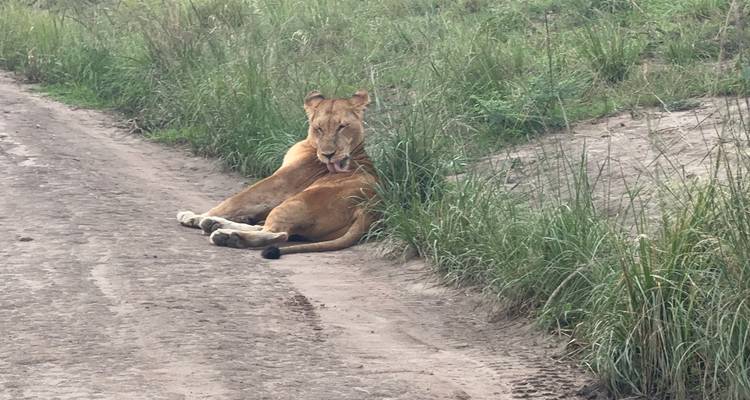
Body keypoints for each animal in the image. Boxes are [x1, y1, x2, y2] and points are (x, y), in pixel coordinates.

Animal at [176, 90, 378, 259]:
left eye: (342, 127)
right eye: (319, 128)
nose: (328, 154)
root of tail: (368, 207)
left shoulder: (280, 184)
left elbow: (236, 200)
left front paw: (194, 216)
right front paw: (201, 217)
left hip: (295, 201)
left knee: (278, 233)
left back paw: (226, 236)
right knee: (268, 228)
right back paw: (216, 225)